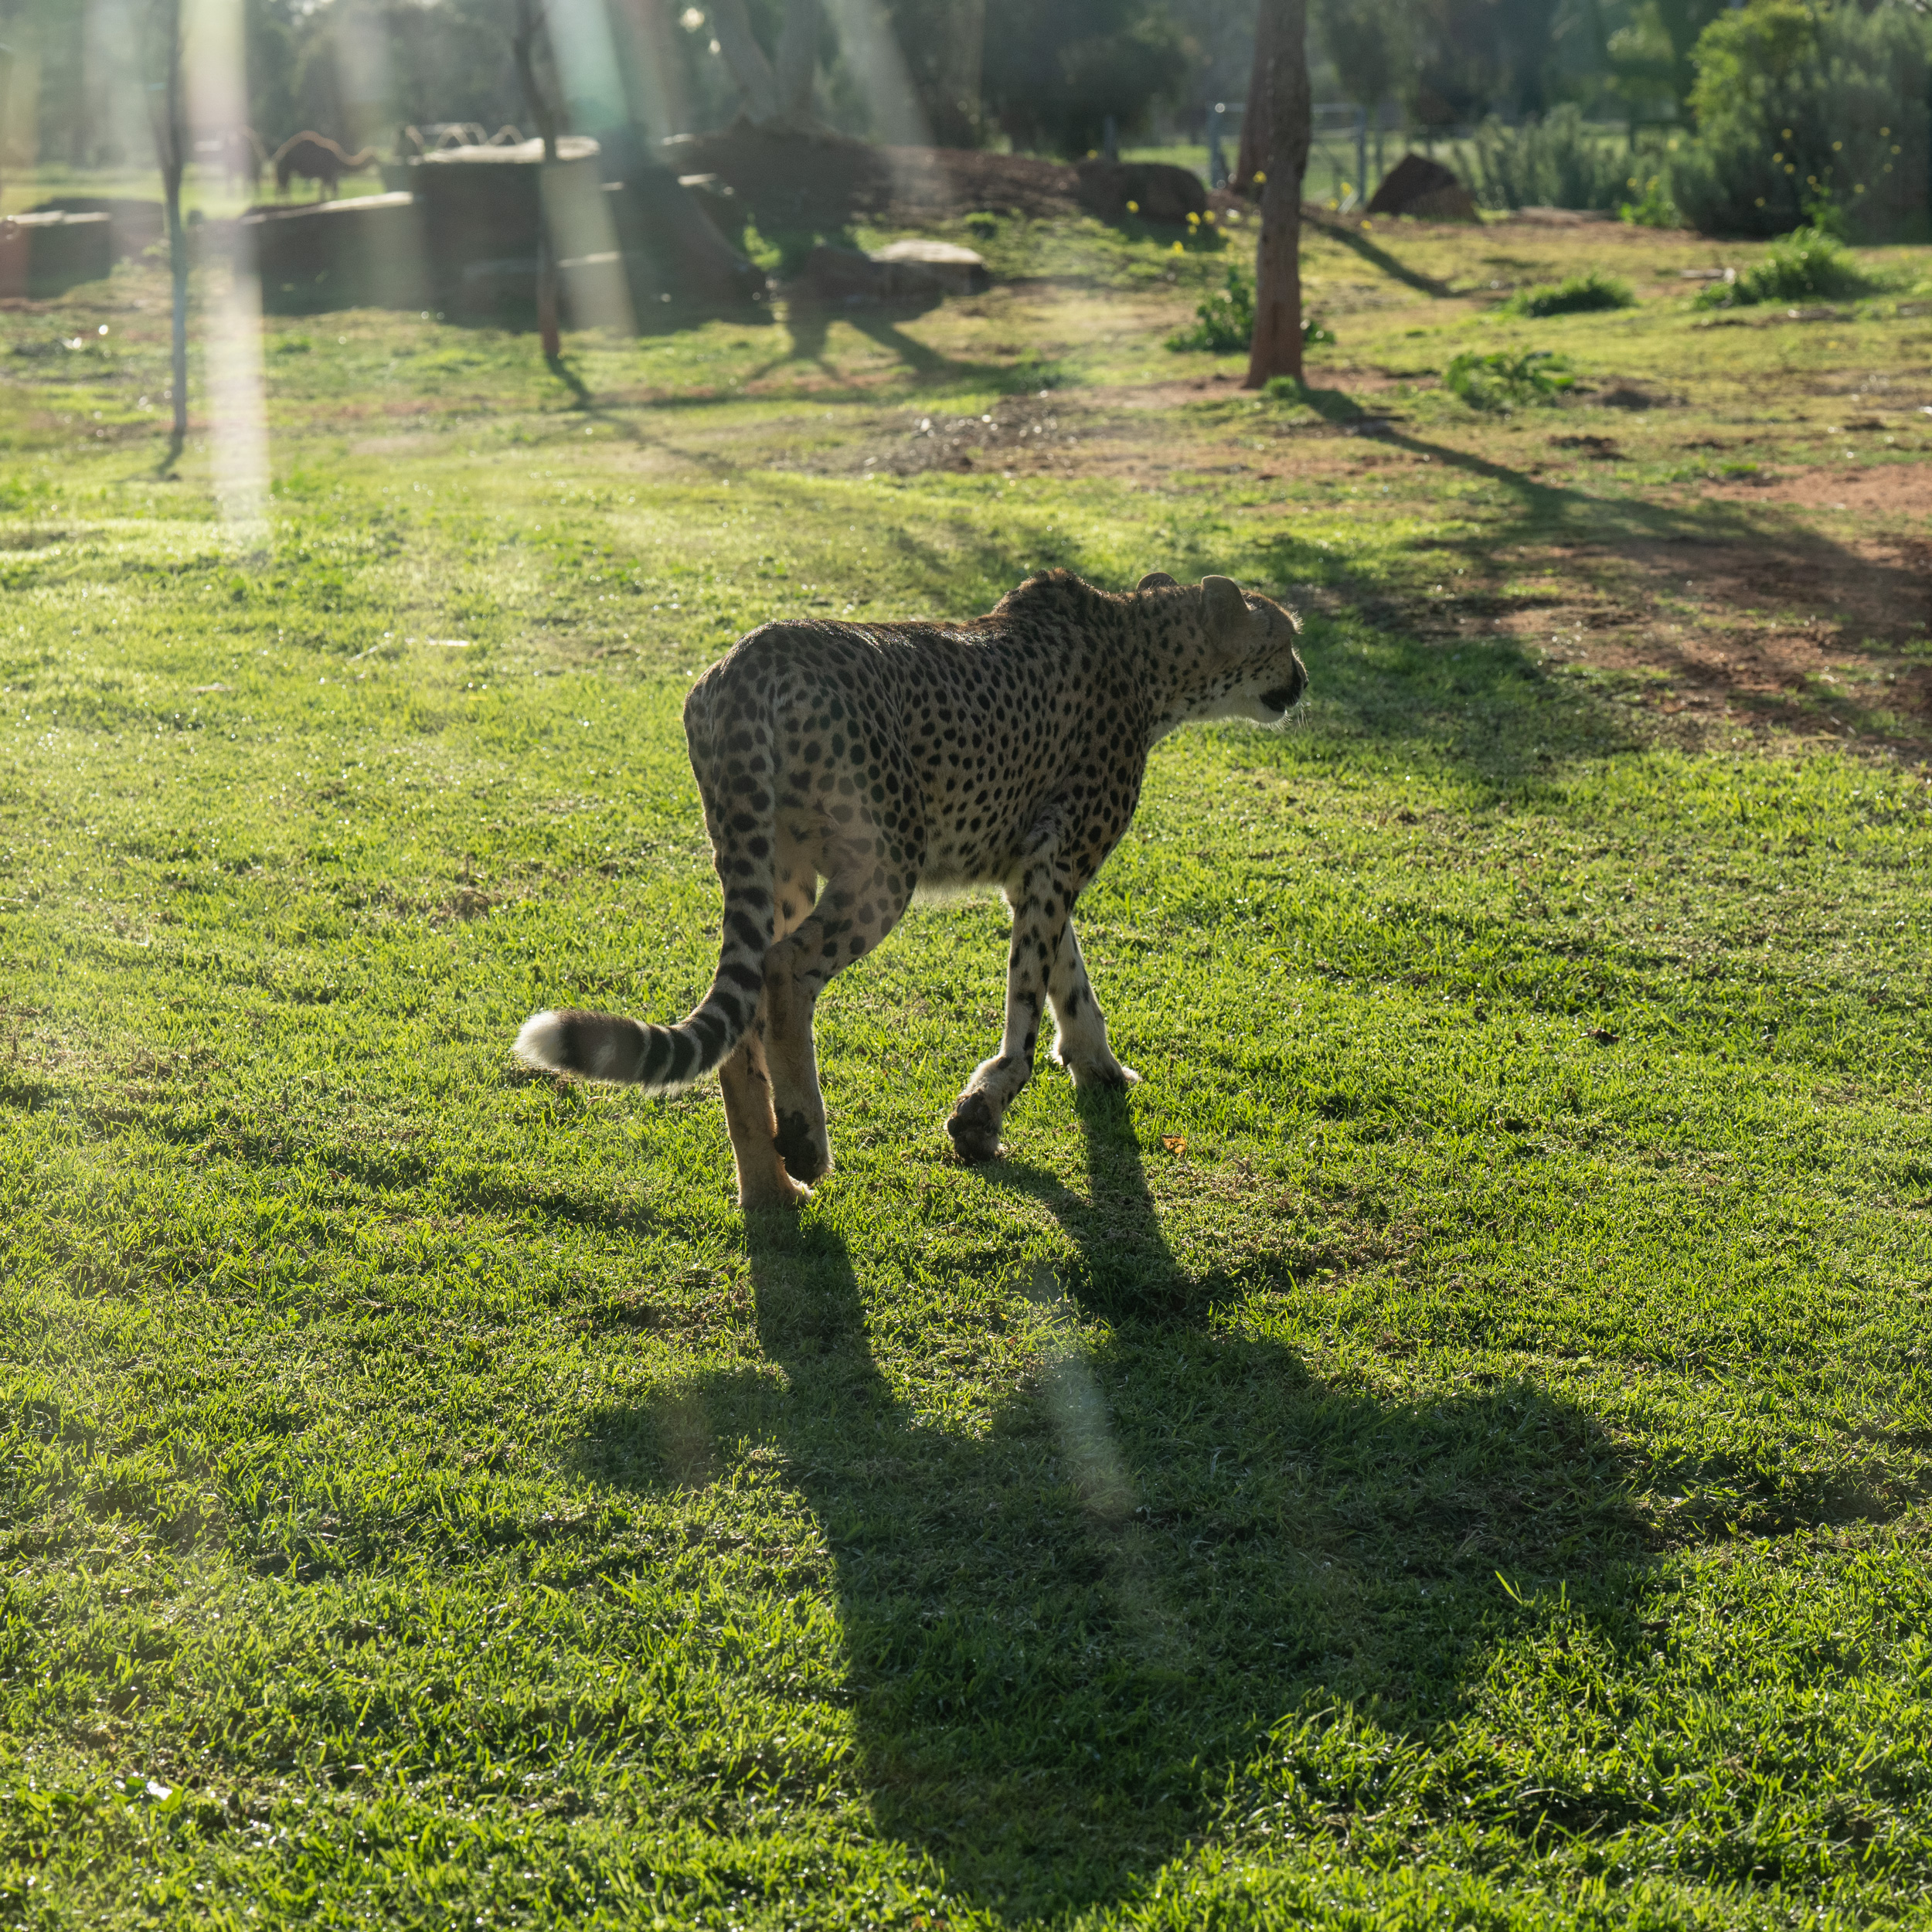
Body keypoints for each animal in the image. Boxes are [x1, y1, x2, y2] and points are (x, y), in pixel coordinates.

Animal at [514, 564, 1306, 1213]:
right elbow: (1030, 993)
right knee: (784, 969)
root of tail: (751, 656)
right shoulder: (1056, 861)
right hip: (885, 862)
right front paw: (985, 1111)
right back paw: (806, 1140)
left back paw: (771, 1188)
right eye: (1286, 637)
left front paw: (1101, 1067)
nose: (1304, 680)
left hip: (774, 863)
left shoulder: (1031, 867)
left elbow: (1069, 976)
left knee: (744, 1006)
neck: (1142, 652)